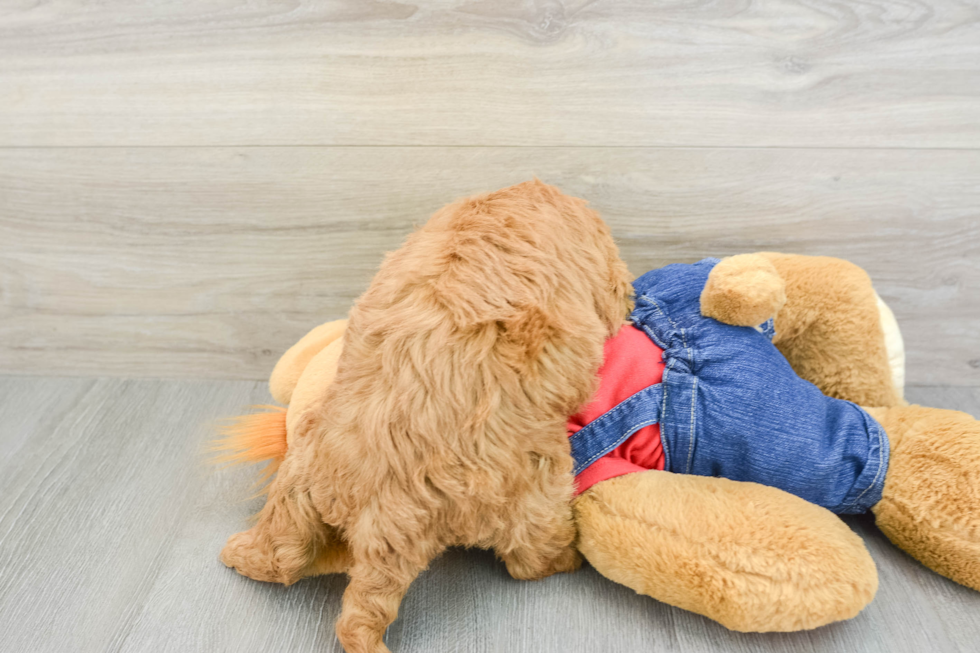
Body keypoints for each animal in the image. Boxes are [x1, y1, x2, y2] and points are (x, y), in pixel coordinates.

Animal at [220, 180, 636, 652]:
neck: (513, 201)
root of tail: (376, 498)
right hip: (535, 494)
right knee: (531, 557)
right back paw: (566, 560)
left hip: (297, 488)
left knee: (282, 554)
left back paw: (241, 555)